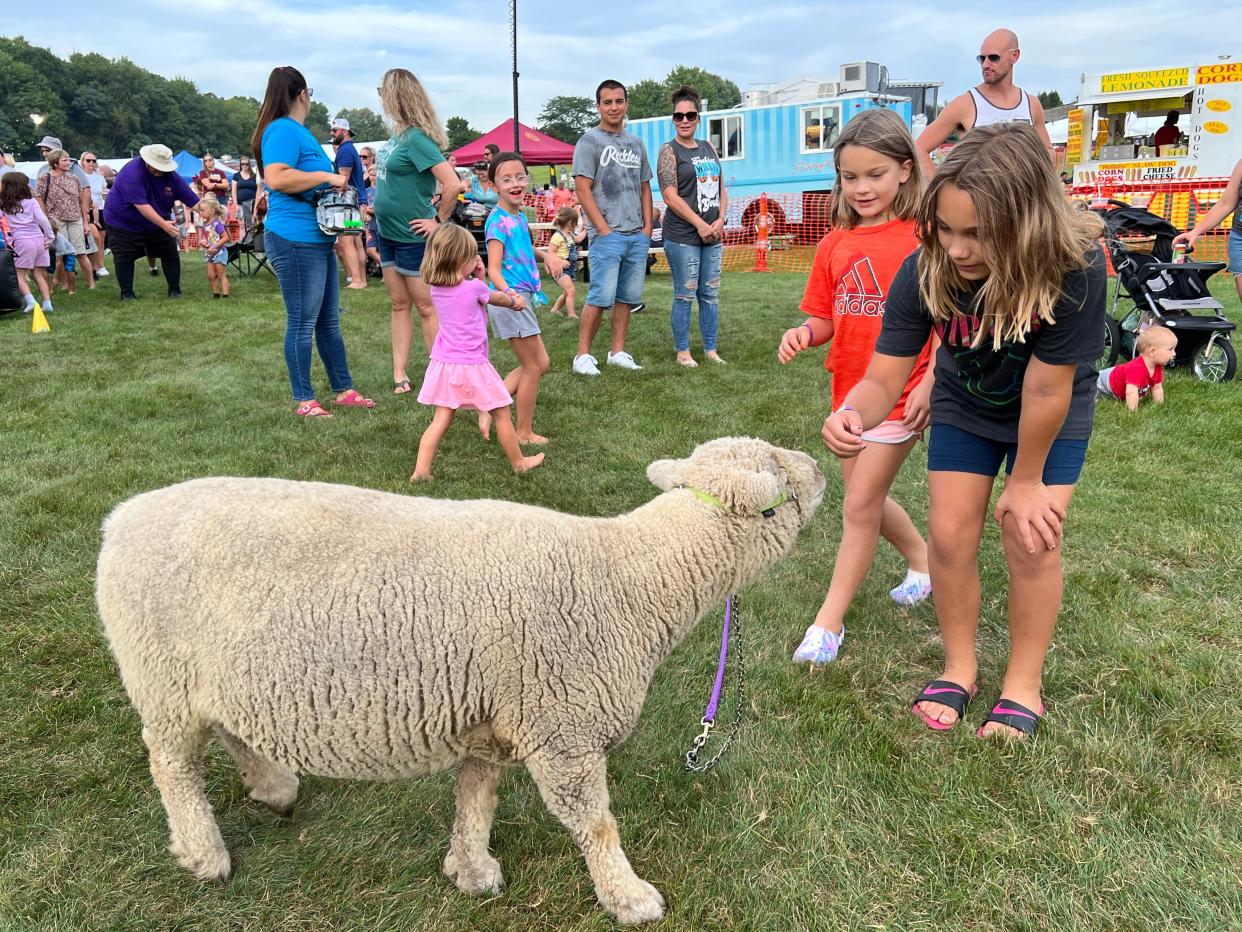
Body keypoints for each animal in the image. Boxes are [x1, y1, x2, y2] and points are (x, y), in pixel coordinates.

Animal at [96, 437, 824, 929]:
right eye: (781, 483)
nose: (821, 464)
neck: (629, 580)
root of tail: (119, 520)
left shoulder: (493, 718)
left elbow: (478, 799)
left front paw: (470, 870)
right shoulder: (563, 730)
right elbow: (594, 822)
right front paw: (629, 896)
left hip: (220, 677)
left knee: (232, 732)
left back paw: (273, 788)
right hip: (162, 677)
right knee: (172, 765)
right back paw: (204, 854)